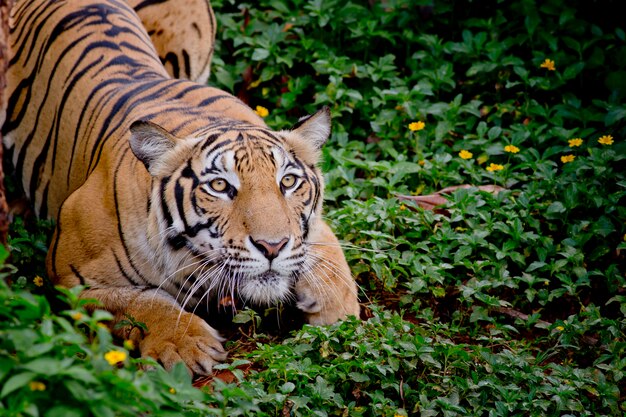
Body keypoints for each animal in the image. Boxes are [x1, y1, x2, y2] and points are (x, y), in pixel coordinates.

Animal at [0, 0, 358, 374]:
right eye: (219, 186)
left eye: (288, 181)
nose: (272, 247)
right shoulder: (71, 280)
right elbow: (141, 301)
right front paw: (185, 345)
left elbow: (327, 247)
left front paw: (339, 310)